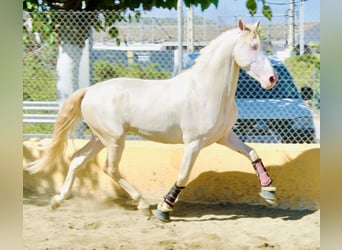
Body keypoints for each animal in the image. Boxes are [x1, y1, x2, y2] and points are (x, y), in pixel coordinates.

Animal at [26, 20, 278, 223]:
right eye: (254, 46)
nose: (271, 79)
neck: (207, 91)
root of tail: (89, 90)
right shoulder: (194, 143)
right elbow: (183, 175)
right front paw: (164, 209)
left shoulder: (224, 136)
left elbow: (252, 152)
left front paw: (269, 190)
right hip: (114, 139)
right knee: (110, 168)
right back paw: (143, 205)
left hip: (99, 138)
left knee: (77, 160)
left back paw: (57, 201)